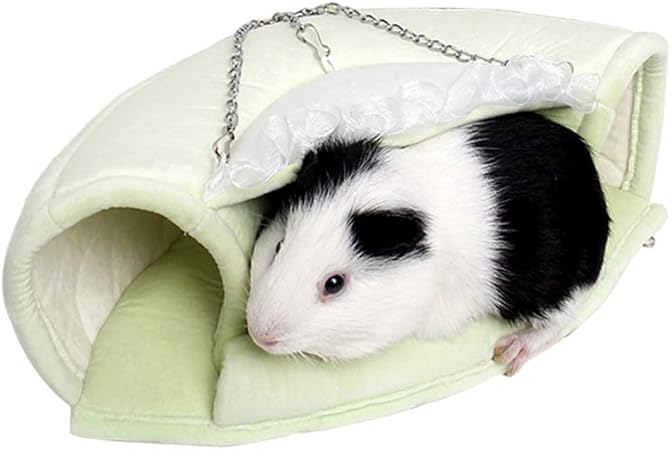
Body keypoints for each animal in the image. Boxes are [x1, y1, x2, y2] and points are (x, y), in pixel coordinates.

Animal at [246, 112, 610, 375]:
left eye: (334, 284)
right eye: (278, 247)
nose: (260, 334)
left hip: (553, 288)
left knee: (562, 318)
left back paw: (509, 353)